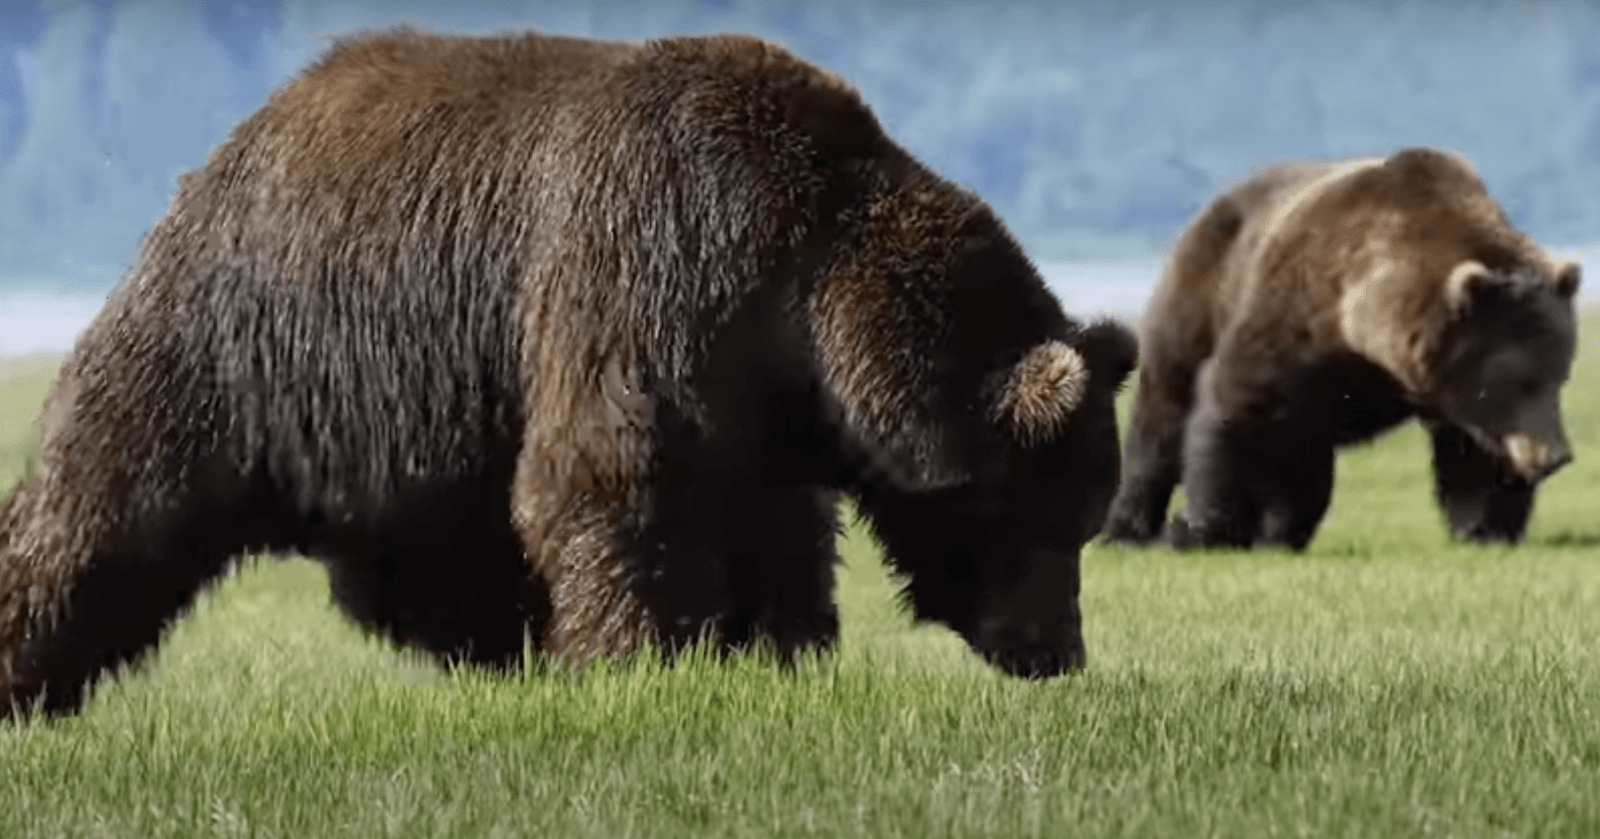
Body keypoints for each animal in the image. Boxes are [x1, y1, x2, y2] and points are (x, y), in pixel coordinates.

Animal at [0, 27, 1138, 718]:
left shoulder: (765, 405)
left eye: (1084, 518)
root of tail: (248, 128)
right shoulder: (651, 269)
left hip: (415, 411)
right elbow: (611, 479)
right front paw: (637, 658)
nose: (1058, 651)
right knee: (107, 497)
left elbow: (777, 530)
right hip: (240, 333)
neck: (811, 298)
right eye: (1040, 516)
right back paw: (25, 668)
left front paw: (780, 647)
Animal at [1100, 147, 1579, 552]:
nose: (1556, 456)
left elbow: (1473, 452)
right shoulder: (1297, 320)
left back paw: (1280, 533)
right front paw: (1200, 530)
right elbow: (1231, 410)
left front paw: (1484, 529)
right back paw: (1126, 529)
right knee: (1165, 406)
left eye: (1559, 374)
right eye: (1521, 380)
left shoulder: (1445, 388)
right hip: (1204, 290)